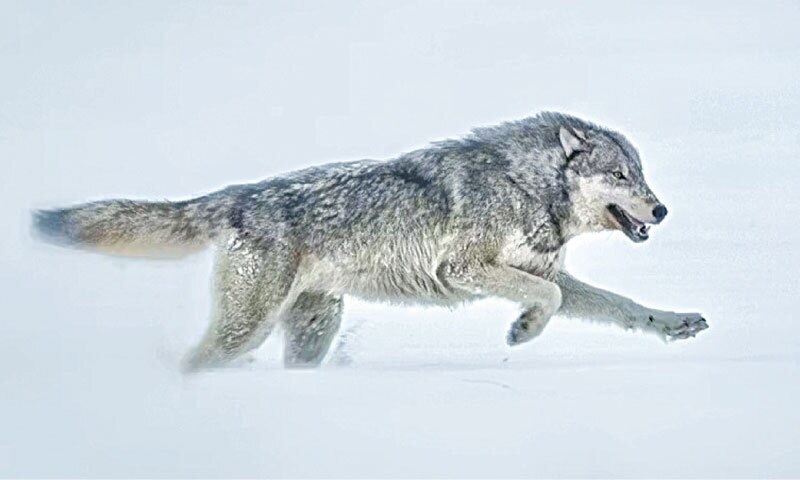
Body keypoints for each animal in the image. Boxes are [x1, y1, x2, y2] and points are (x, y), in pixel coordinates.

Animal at [33, 112, 708, 371]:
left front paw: (675, 323)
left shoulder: (545, 270)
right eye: (620, 176)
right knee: (195, 363)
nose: (662, 209)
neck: (527, 186)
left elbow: (616, 306)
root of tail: (238, 196)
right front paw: (521, 330)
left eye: (641, 174)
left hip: (312, 329)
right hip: (246, 329)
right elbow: (551, 299)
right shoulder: (463, 267)